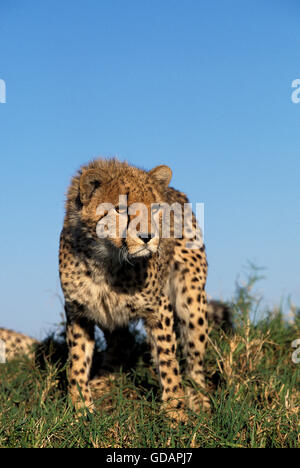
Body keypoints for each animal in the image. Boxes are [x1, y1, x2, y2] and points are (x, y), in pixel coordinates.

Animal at [58, 158, 209, 420]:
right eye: (120, 209)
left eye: (156, 208)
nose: (148, 237)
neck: (104, 260)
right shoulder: (79, 312)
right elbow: (77, 361)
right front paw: (80, 409)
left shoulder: (159, 310)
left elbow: (168, 360)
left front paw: (175, 411)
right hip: (108, 316)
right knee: (122, 343)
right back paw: (104, 381)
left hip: (191, 300)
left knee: (195, 358)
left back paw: (199, 397)